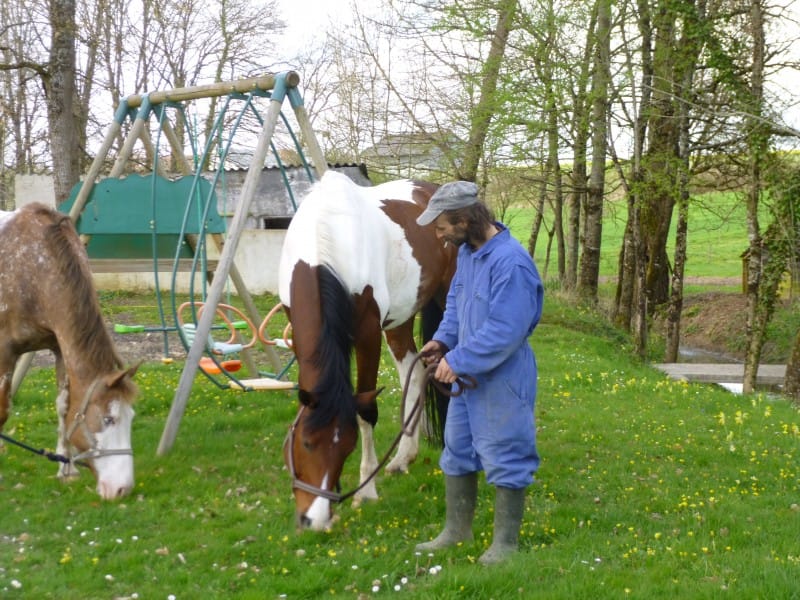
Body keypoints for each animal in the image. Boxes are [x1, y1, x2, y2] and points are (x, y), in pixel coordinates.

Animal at [0, 204, 139, 500]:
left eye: (131, 417)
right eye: (108, 419)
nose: (122, 489)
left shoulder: (60, 347)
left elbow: (64, 406)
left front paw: (66, 470)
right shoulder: (5, 351)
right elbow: (3, 407)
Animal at [280, 171, 456, 532]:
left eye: (347, 447)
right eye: (305, 443)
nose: (315, 519)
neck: (326, 241)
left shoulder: (368, 333)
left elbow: (366, 412)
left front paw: (366, 490)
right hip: (400, 321)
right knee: (413, 374)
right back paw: (403, 457)